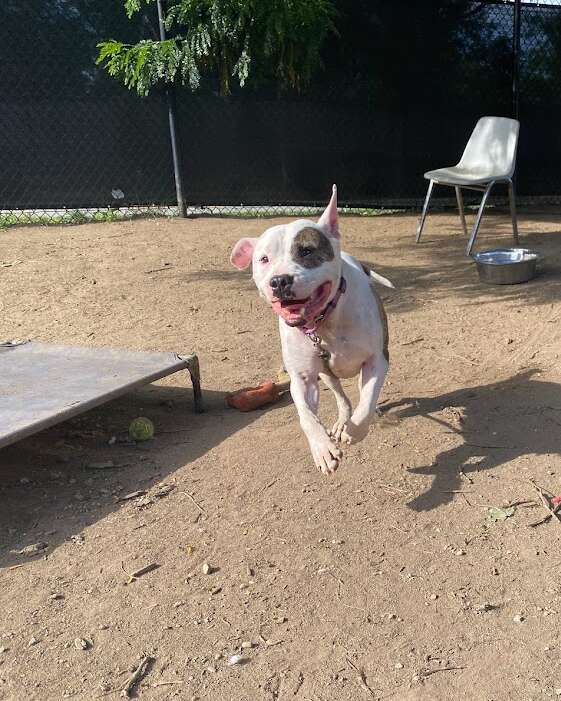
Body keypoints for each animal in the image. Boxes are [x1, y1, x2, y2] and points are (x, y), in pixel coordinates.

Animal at [230, 183, 392, 474]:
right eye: (264, 259)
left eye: (306, 250)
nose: (279, 281)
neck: (325, 322)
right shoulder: (304, 377)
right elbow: (306, 415)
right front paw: (322, 449)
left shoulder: (376, 360)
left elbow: (367, 401)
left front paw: (356, 431)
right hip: (327, 375)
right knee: (342, 398)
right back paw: (341, 421)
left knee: (363, 396)